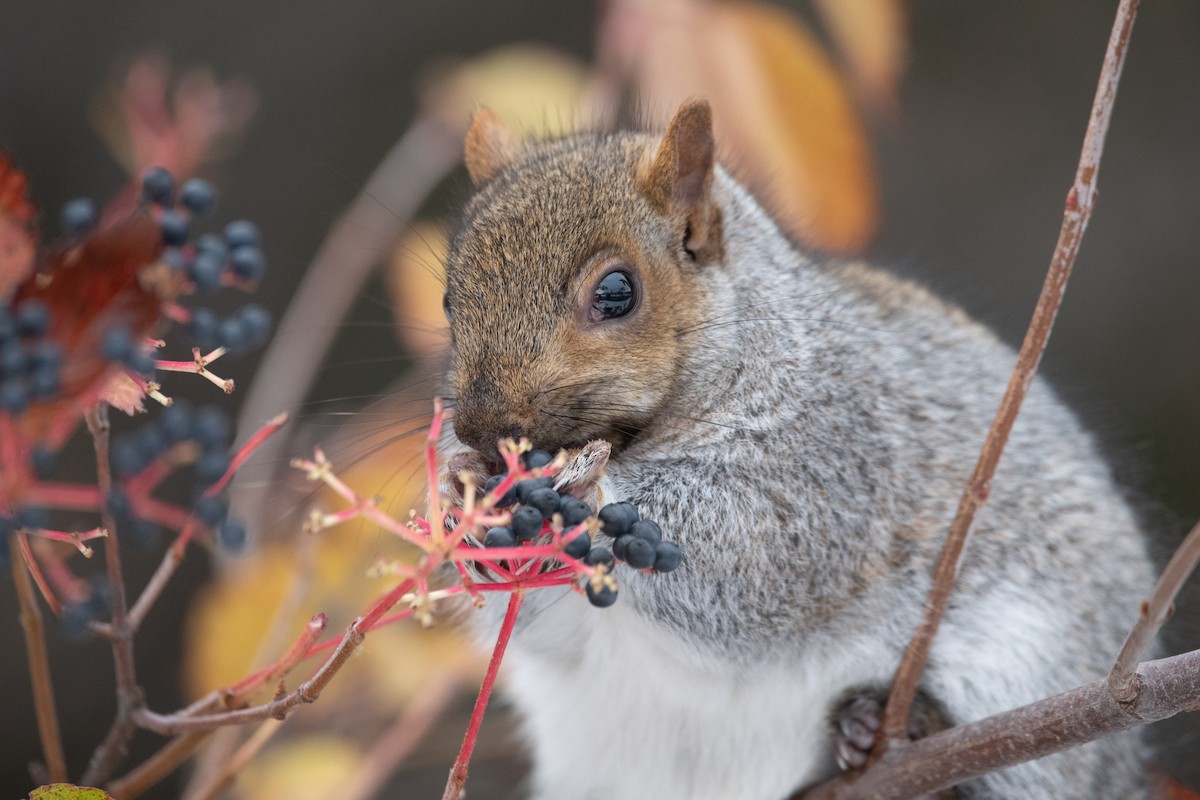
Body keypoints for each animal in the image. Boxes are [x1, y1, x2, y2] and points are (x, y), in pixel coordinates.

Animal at [437, 100, 1154, 799]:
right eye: (449, 300)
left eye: (617, 292)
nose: (481, 429)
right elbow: (544, 628)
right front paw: (460, 498)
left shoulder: (836, 457)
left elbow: (763, 552)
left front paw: (583, 489)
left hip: (1031, 658)